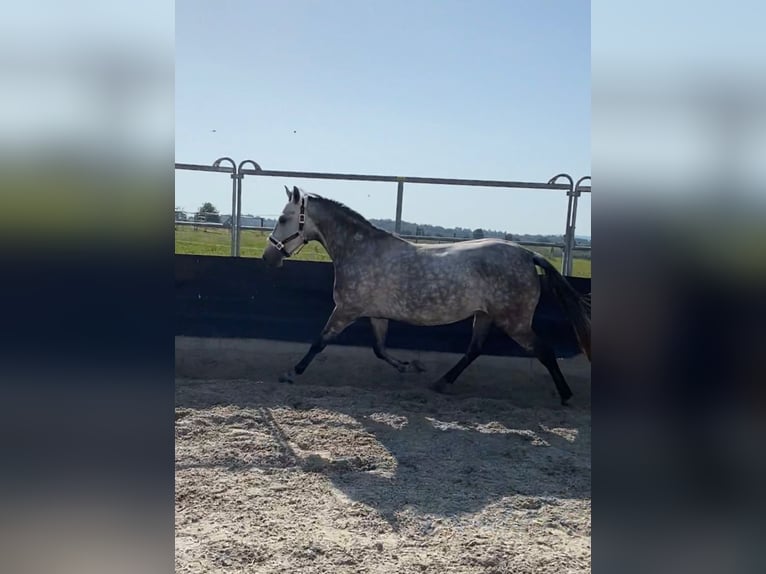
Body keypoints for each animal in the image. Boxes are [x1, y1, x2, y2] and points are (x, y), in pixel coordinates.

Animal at [264, 187, 592, 408]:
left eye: (282, 218)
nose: (269, 258)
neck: (360, 250)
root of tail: (527, 254)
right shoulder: (375, 314)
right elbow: (379, 349)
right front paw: (409, 366)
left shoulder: (346, 309)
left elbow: (320, 341)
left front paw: (291, 373)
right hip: (485, 316)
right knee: (475, 349)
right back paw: (440, 382)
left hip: (515, 322)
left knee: (544, 351)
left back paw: (566, 396)